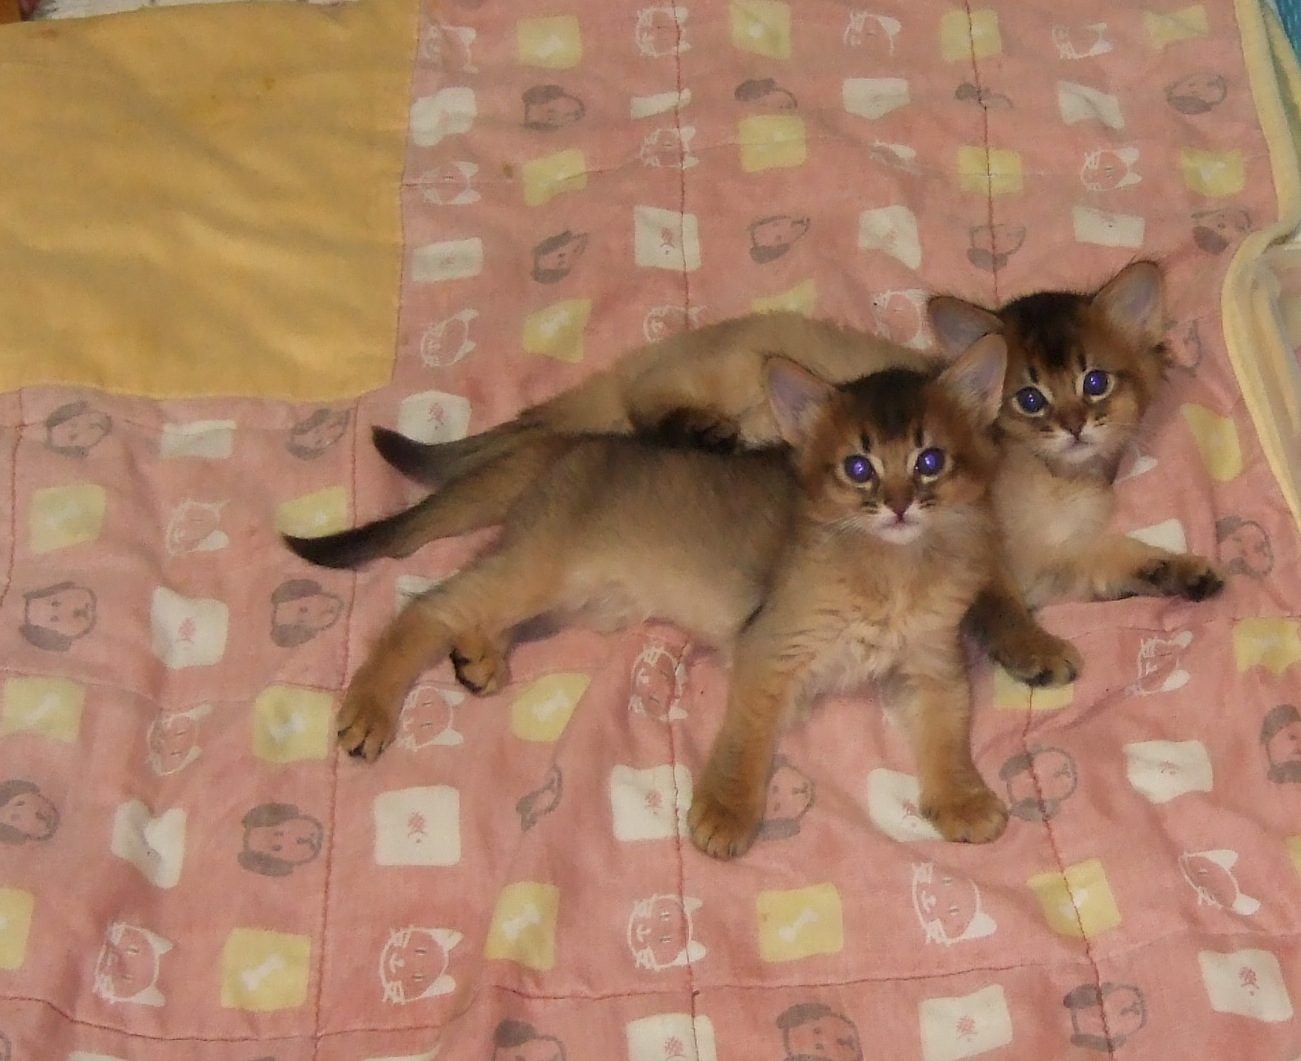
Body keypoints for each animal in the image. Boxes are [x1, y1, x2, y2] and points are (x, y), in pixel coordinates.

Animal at [325, 337, 1012, 858]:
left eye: (930, 460)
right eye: (858, 468)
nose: (898, 505)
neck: (896, 571)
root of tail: (574, 442)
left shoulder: (932, 666)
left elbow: (948, 735)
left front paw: (963, 799)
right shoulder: (771, 648)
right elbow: (745, 739)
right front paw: (726, 813)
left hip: (583, 598)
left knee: (478, 614)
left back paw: (479, 658)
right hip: (541, 569)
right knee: (428, 607)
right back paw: (369, 710)